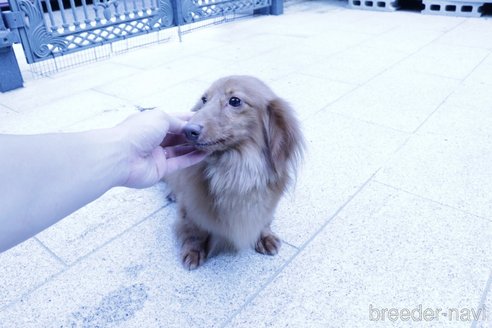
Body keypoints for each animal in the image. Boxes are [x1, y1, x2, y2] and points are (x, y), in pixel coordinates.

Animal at [165, 75, 304, 270]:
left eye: (235, 101)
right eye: (204, 99)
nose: (187, 130)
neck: (236, 170)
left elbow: (264, 220)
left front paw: (264, 236)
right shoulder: (190, 206)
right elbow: (194, 230)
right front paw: (193, 250)